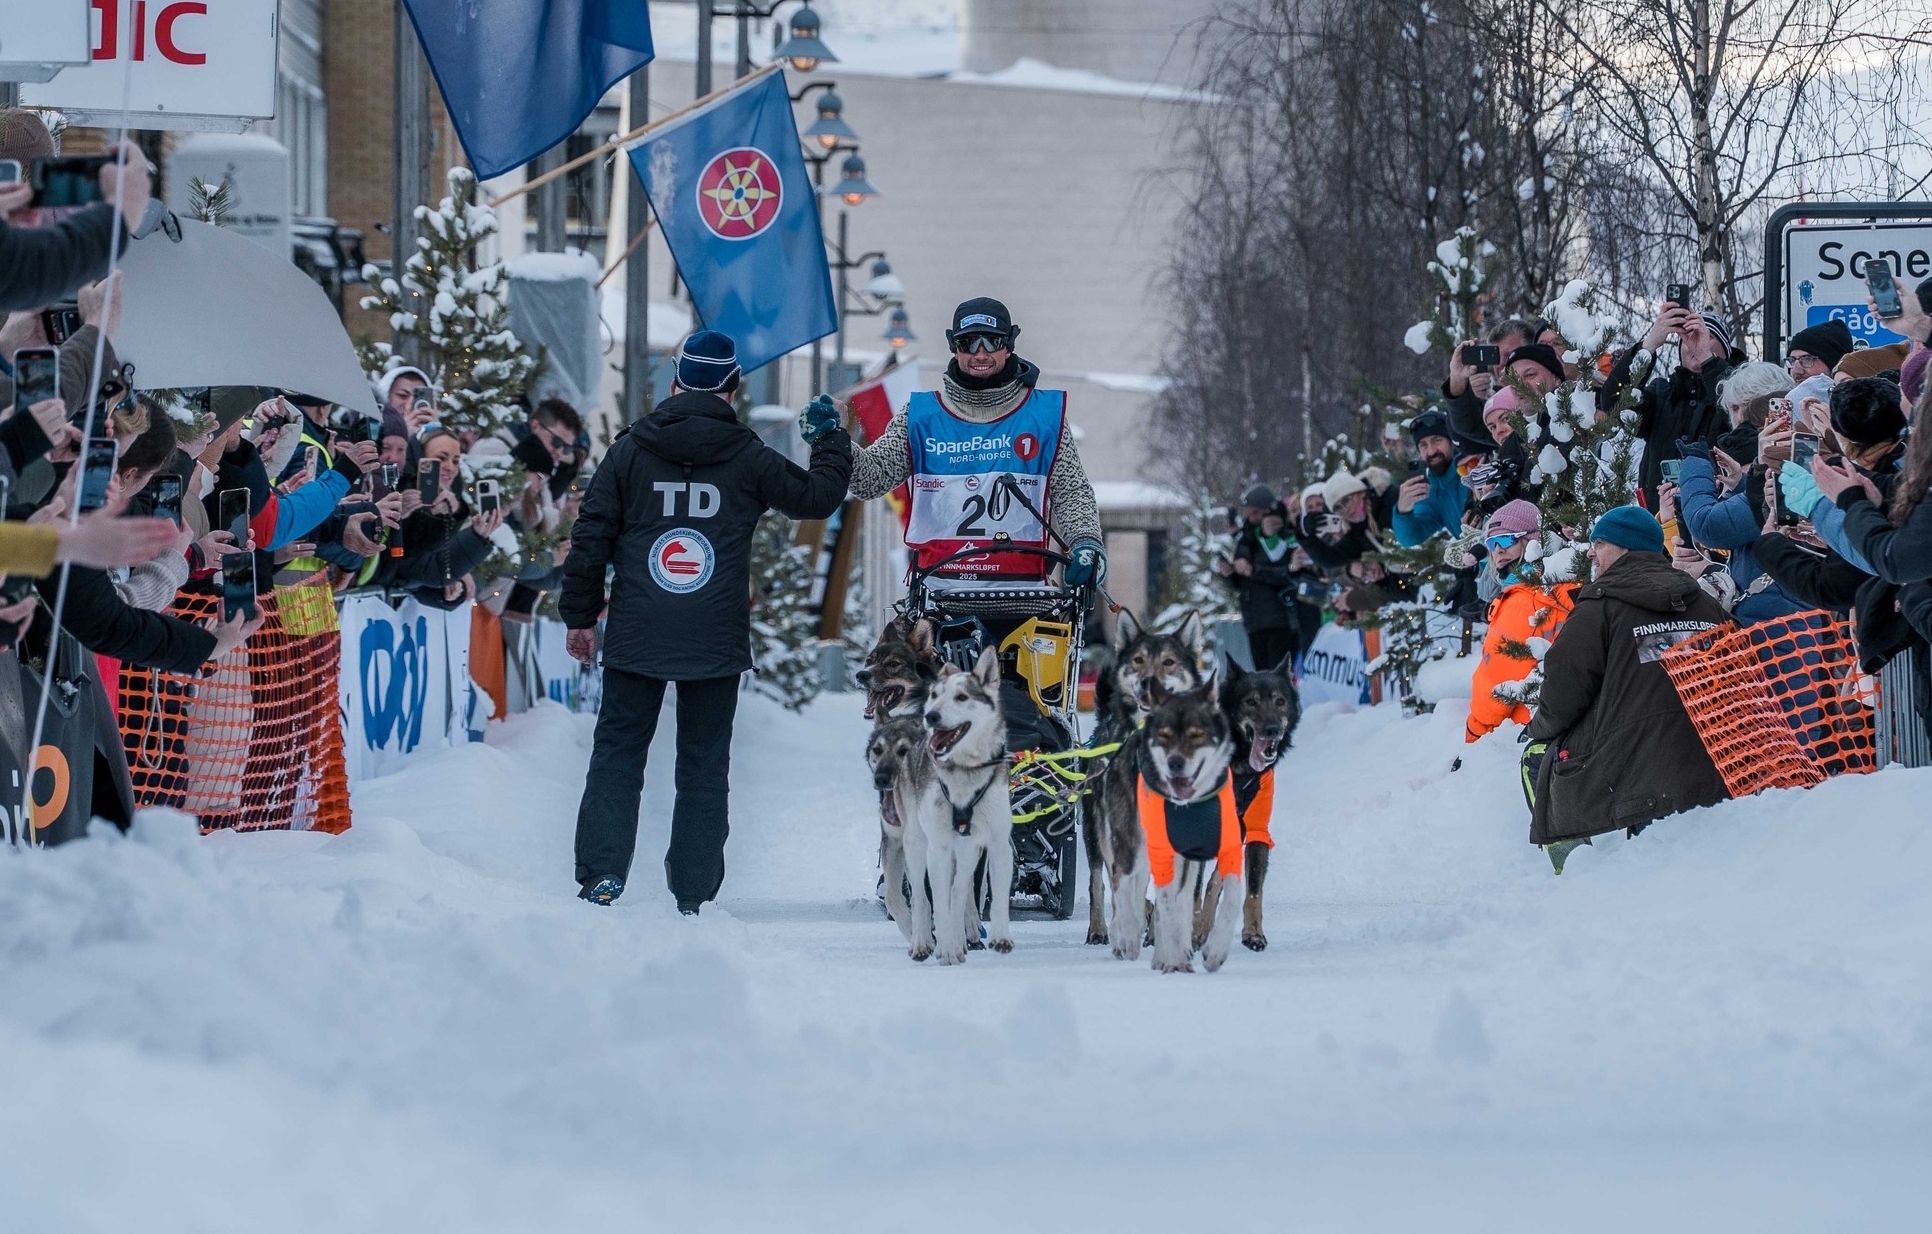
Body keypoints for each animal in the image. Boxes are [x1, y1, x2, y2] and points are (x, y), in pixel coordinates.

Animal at [908, 646, 1013, 964]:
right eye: (934, 695)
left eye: (962, 697)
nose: (931, 716)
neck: (965, 771)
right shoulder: (938, 846)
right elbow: (937, 902)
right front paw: (944, 948)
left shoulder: (998, 843)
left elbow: (998, 897)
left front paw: (1001, 937)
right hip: (916, 843)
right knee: (921, 896)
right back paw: (924, 943)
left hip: (970, 852)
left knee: (960, 890)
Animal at [1083, 609, 1210, 946]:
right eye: (1138, 660)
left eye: (1169, 662)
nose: (1146, 681)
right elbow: (1126, 888)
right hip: (1094, 830)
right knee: (1099, 882)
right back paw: (1101, 928)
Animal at [1092, 678, 1242, 972]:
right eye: (1163, 735)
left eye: (1196, 735)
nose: (1175, 763)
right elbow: (1156, 901)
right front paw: (1168, 954)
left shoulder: (1213, 849)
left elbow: (1229, 895)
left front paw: (1213, 951)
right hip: (1129, 843)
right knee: (1122, 885)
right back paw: (1126, 936)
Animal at [1195, 653, 1301, 952]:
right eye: (1250, 701)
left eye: (1280, 701)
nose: (1272, 730)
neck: (1238, 767)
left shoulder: (1254, 830)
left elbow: (1252, 890)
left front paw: (1253, 933)